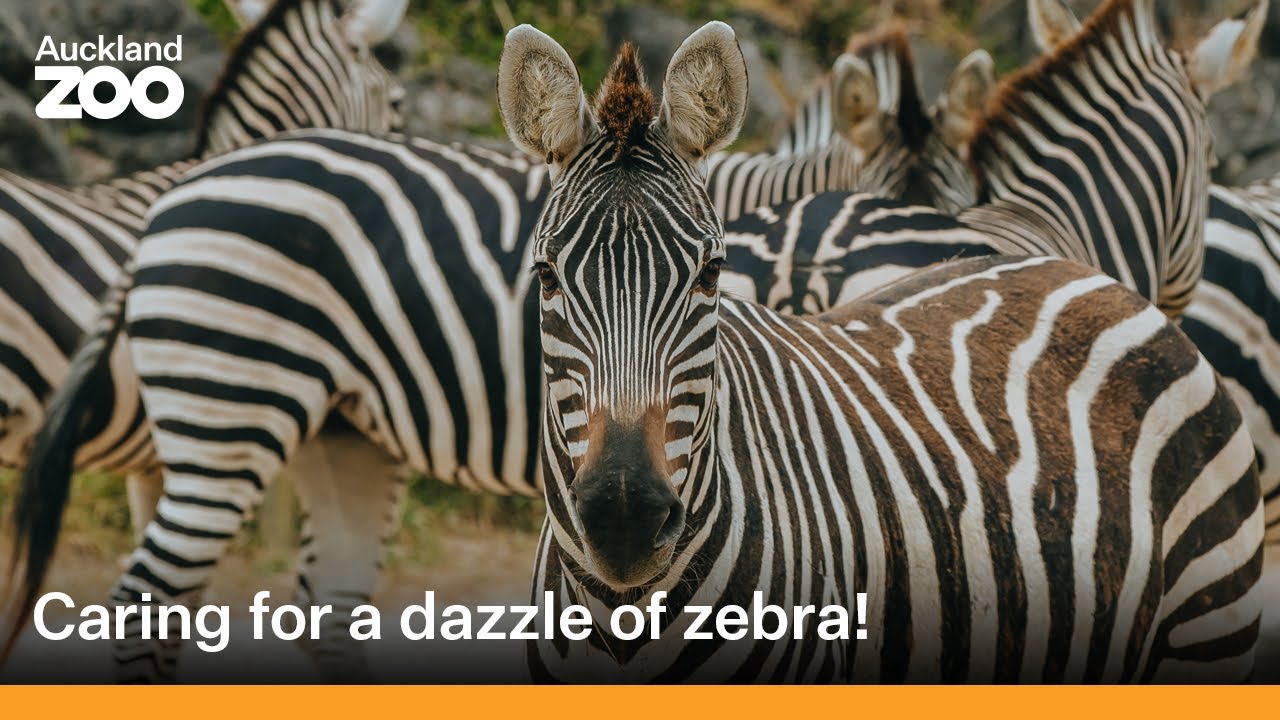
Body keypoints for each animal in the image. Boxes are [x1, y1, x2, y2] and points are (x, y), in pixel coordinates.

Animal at [501, 11, 1263, 683]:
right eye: (546, 276)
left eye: (710, 273)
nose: (624, 519)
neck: (620, 614)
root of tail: (1083, 277)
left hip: (1209, 627)